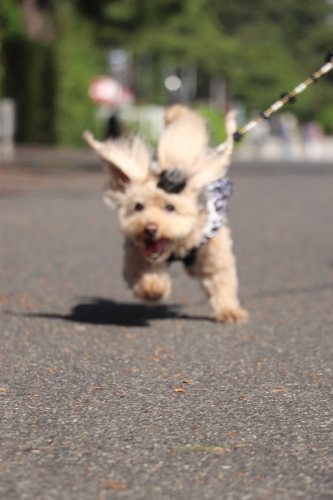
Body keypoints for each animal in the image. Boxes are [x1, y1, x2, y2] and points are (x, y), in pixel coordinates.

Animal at [83, 106, 246, 324]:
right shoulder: (136, 252)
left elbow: (221, 280)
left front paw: (229, 311)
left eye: (170, 207)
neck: (176, 248)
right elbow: (143, 273)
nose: (150, 228)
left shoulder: (214, 251)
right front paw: (153, 288)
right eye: (138, 207)